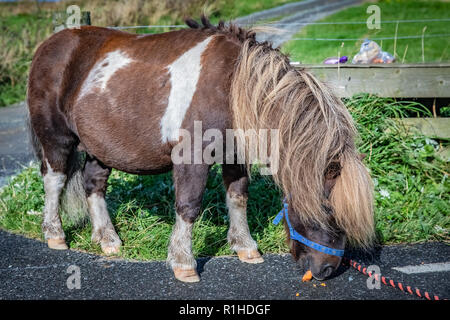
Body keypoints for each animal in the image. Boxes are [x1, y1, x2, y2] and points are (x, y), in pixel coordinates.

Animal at [26, 16, 374, 282]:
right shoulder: (191, 157)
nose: (327, 270)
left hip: (100, 147)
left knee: (94, 184)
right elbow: (189, 206)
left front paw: (246, 247)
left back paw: (108, 239)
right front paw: (184, 264)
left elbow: (238, 197)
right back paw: (55, 235)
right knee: (54, 180)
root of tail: (47, 46)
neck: (231, 84)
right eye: (328, 209)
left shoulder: (234, 154)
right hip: (57, 138)